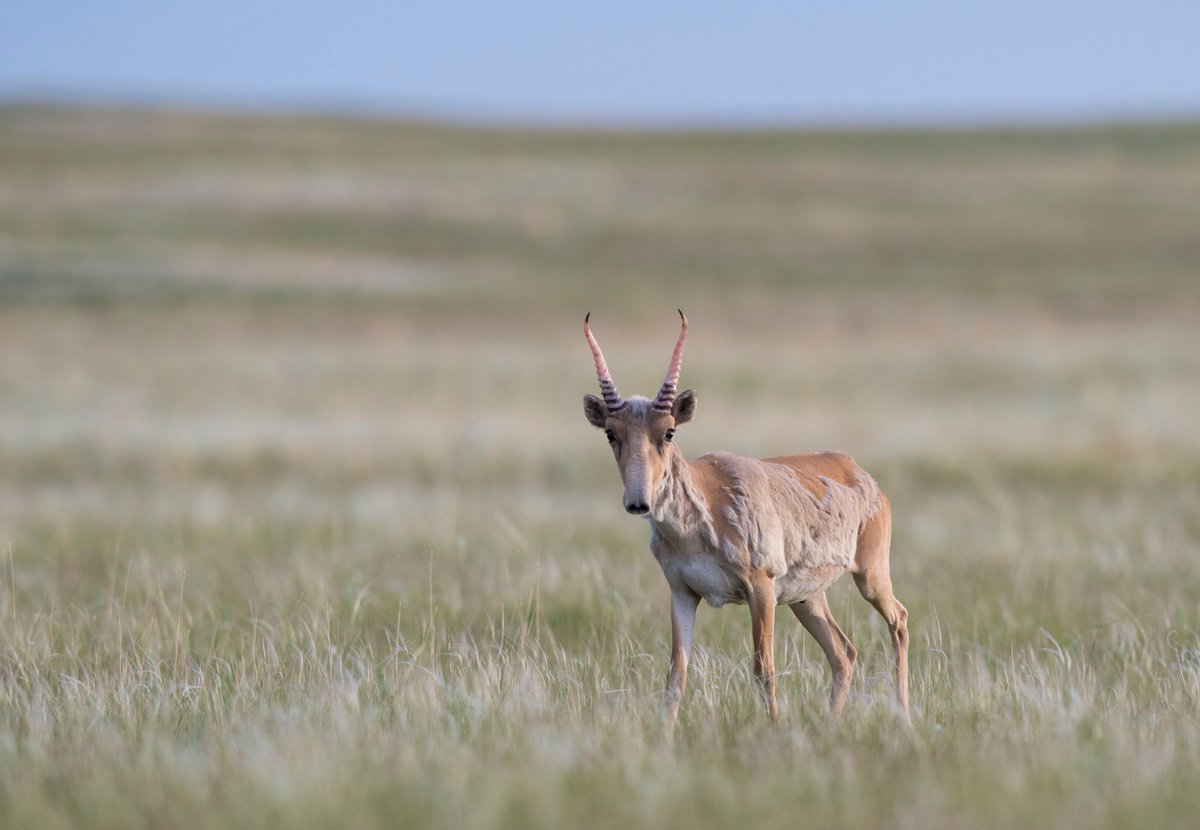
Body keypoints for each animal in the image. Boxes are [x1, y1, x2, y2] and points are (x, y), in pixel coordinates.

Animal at [580, 311, 907, 724]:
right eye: (611, 432)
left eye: (669, 431)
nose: (639, 502)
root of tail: (858, 471)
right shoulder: (682, 592)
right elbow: (676, 676)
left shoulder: (760, 587)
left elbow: (763, 669)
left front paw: (774, 728)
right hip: (807, 598)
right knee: (843, 653)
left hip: (871, 575)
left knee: (898, 620)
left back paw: (906, 716)